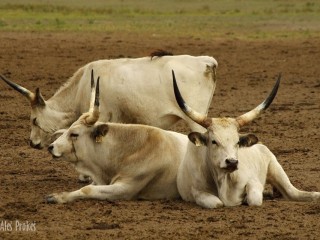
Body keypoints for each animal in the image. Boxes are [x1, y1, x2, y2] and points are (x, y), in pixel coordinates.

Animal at [172, 71, 320, 208]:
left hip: (276, 168)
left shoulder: (254, 181)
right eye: (214, 141)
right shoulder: (197, 192)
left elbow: (254, 199)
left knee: (295, 193)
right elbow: (217, 203)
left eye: (237, 142)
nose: (232, 162)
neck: (223, 181)